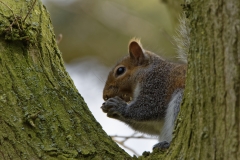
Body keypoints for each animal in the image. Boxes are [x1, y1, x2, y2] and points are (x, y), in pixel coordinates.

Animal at [100, 17, 188, 150]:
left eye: (120, 70)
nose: (105, 95)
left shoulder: (157, 84)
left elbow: (149, 107)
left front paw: (119, 107)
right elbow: (153, 125)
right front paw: (112, 111)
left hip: (180, 98)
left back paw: (167, 143)